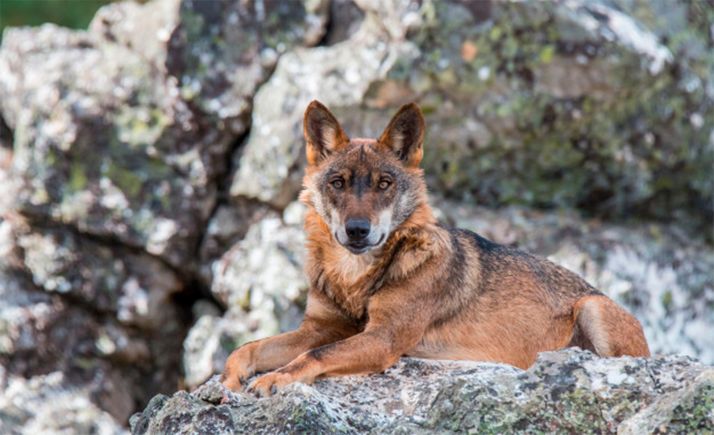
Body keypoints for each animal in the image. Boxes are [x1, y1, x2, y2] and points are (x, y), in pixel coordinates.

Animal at [222, 100, 650, 396]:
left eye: (384, 184)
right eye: (338, 183)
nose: (357, 230)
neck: (355, 279)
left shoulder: (383, 339)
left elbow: (314, 356)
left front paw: (275, 379)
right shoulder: (319, 328)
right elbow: (247, 348)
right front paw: (228, 382)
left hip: (593, 307)